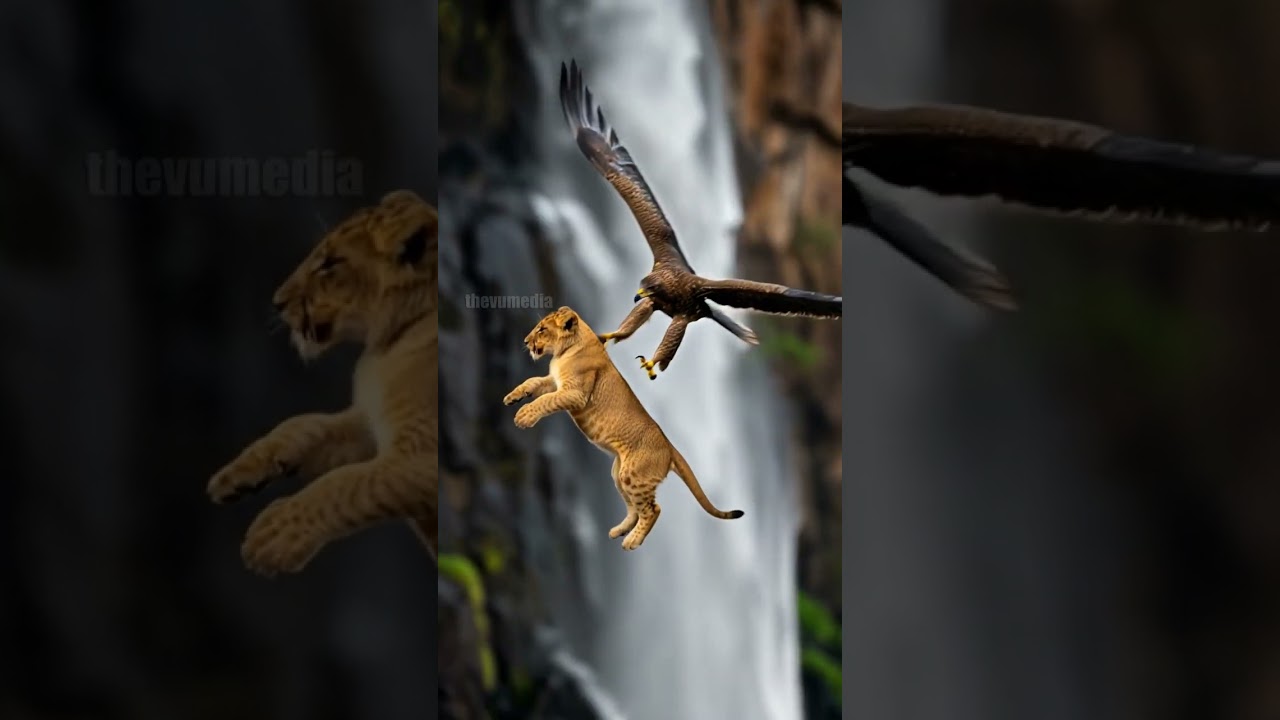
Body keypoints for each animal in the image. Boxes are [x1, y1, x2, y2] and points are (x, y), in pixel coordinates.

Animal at [207, 189, 439, 577]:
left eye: (330, 264)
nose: (278, 302)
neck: (388, 344)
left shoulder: (419, 455)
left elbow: (344, 486)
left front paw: (273, 536)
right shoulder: (368, 423)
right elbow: (305, 425)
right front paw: (236, 474)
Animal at [503, 306, 743, 550]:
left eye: (542, 329)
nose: (525, 341)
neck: (565, 351)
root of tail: (669, 446)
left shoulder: (575, 394)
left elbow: (545, 401)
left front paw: (523, 417)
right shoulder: (555, 382)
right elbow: (533, 382)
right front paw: (512, 397)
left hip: (633, 476)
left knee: (653, 510)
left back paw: (632, 541)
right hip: (619, 474)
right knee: (635, 508)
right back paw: (619, 531)